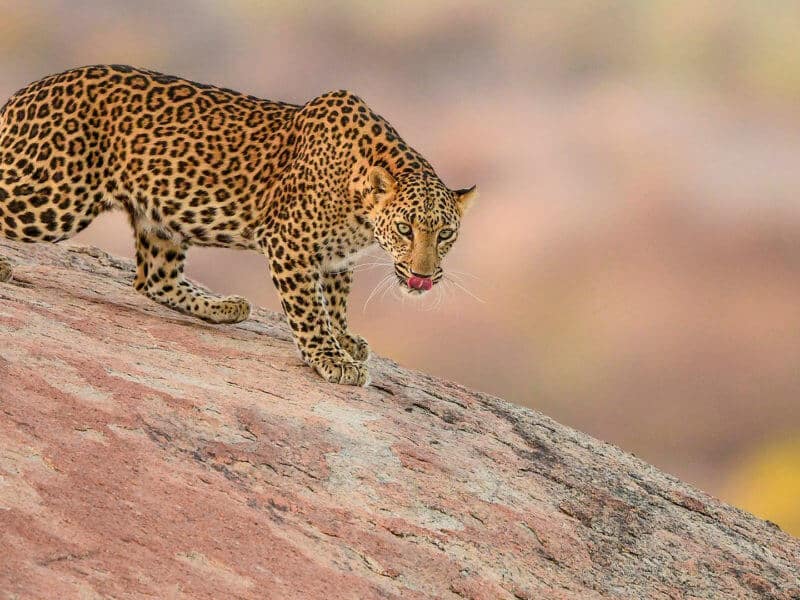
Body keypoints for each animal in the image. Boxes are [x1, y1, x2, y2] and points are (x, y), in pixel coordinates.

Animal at [0, 65, 477, 386]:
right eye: (405, 229)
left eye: (445, 234)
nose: (421, 275)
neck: (360, 204)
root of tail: (26, 91)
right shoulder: (291, 244)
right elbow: (310, 310)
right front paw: (331, 357)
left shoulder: (337, 258)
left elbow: (336, 301)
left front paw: (344, 339)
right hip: (52, 194)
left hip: (160, 218)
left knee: (152, 280)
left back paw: (226, 308)